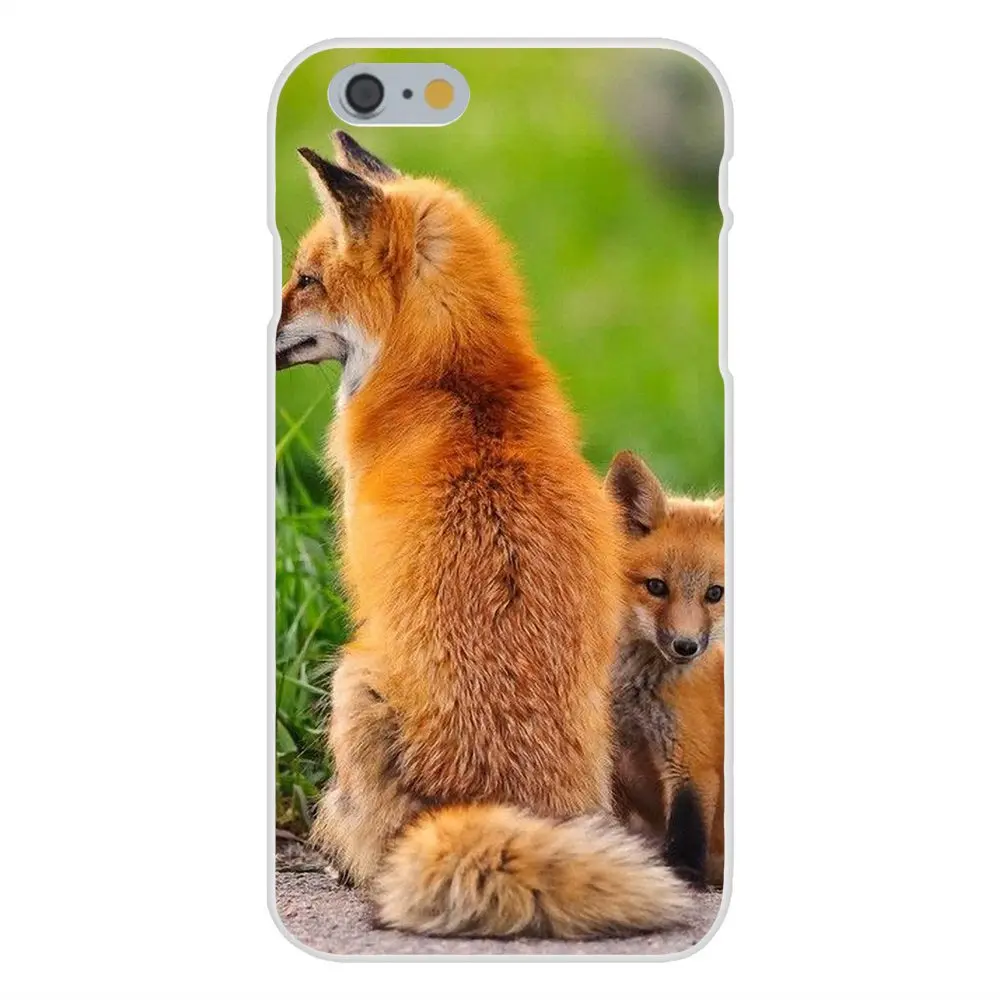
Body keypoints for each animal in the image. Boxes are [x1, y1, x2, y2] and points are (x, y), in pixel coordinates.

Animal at [604, 450, 725, 887]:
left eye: (714, 593)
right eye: (656, 587)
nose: (685, 646)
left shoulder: (692, 759)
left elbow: (687, 832)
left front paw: (683, 876)